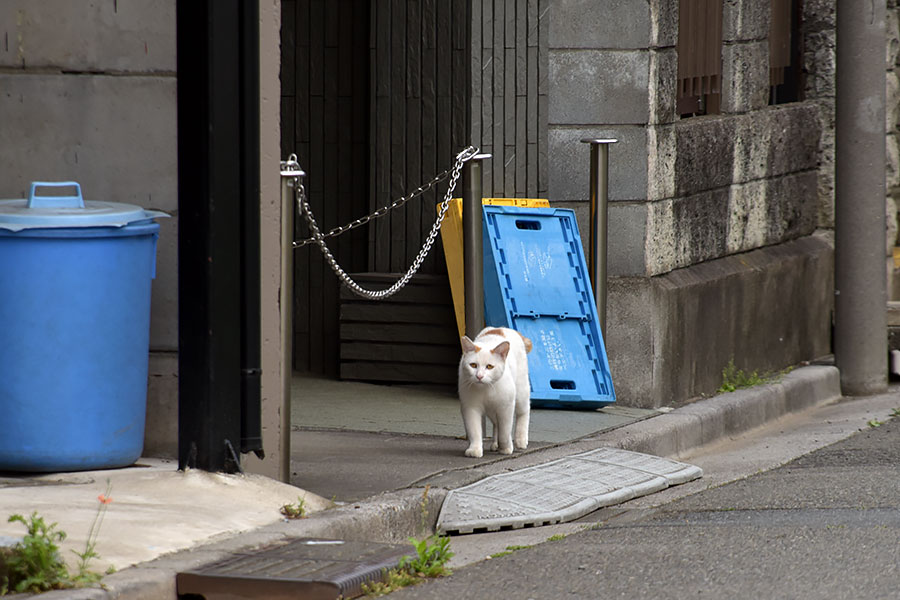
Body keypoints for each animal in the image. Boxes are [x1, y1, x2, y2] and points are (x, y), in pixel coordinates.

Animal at [460, 326, 532, 458]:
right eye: (473, 365)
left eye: (489, 367)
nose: (479, 376)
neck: (486, 389)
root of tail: (503, 328)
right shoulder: (470, 407)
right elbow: (474, 430)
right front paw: (475, 449)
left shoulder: (506, 407)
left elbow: (505, 432)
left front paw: (506, 448)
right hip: (492, 410)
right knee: (496, 424)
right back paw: (495, 444)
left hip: (521, 392)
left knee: (524, 412)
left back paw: (520, 439)